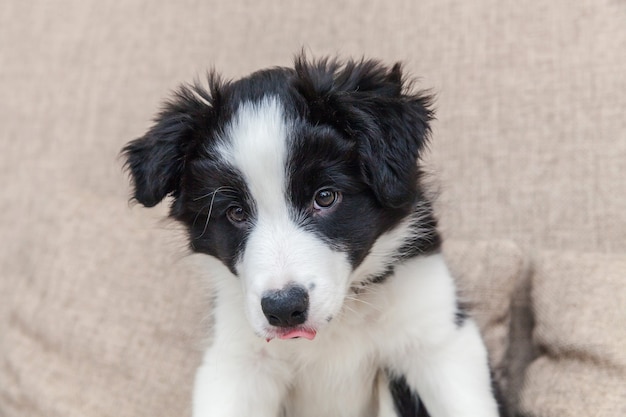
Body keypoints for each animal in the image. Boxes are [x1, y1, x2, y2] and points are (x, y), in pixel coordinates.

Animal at [124, 55, 500, 416]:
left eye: (325, 197)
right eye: (235, 213)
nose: (283, 309)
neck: (339, 322)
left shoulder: (440, 339)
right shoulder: (237, 362)